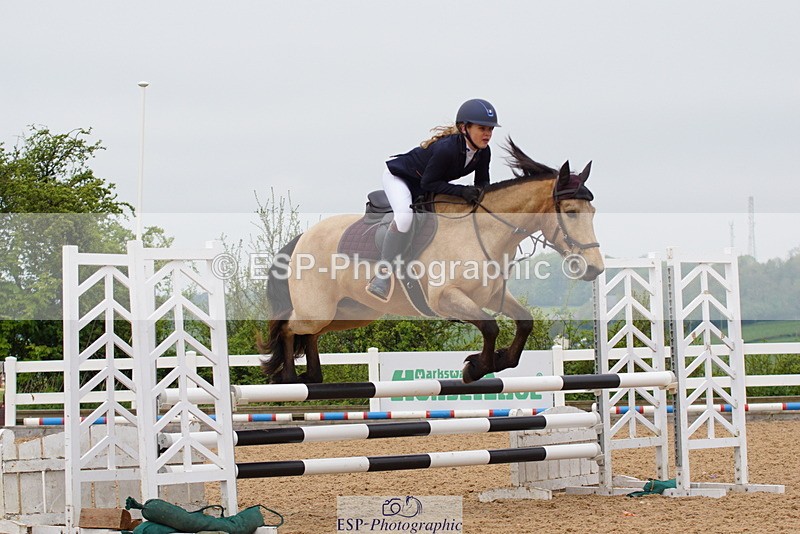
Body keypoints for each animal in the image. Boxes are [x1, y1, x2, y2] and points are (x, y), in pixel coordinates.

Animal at [260, 139, 604, 384]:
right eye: (571, 212)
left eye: (593, 212)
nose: (594, 268)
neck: (484, 232)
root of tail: (302, 238)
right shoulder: (445, 297)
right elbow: (490, 326)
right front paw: (476, 367)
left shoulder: (492, 295)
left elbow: (525, 321)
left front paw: (498, 360)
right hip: (316, 309)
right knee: (289, 328)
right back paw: (289, 378)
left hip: (351, 311)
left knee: (311, 334)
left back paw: (312, 376)